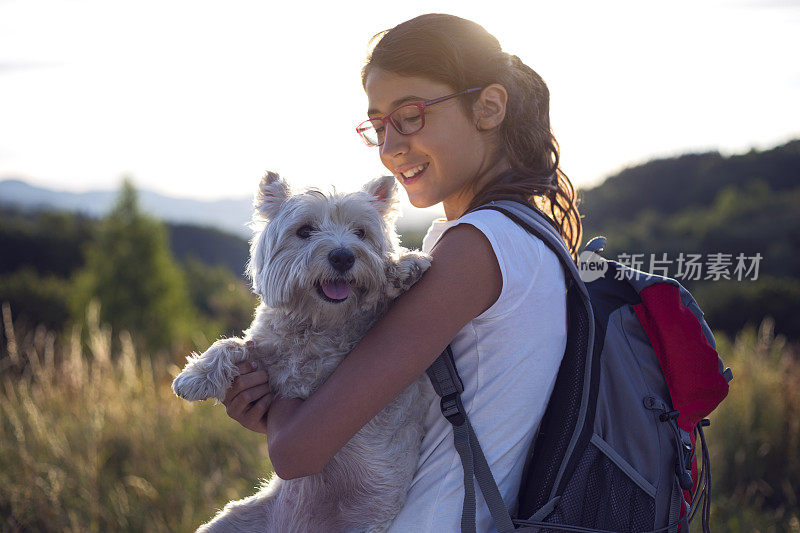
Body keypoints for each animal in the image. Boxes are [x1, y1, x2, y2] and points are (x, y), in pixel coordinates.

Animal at [170, 172, 432, 528]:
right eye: (305, 231)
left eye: (360, 232)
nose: (343, 256)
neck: (316, 322)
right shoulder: (269, 357)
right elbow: (232, 344)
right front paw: (194, 377)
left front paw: (404, 266)